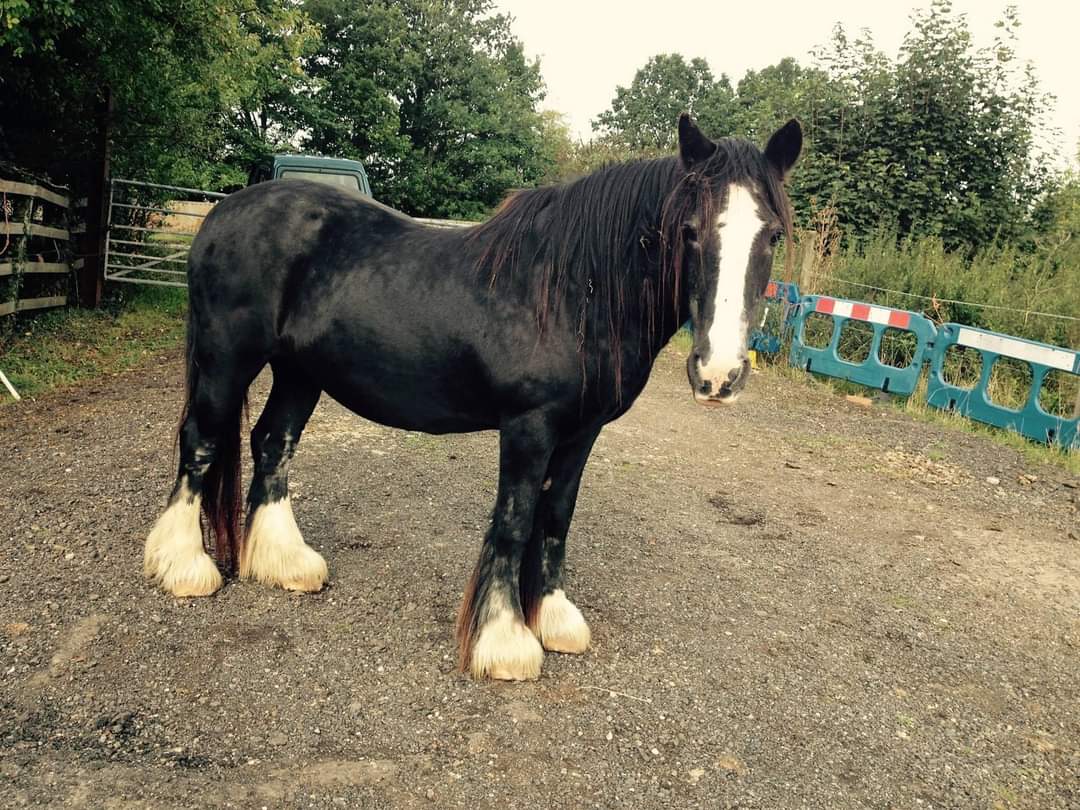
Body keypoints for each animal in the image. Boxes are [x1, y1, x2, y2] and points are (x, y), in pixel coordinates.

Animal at [142, 114, 802, 680]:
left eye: (772, 235)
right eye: (689, 232)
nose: (718, 374)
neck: (572, 289)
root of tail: (223, 212)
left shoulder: (583, 430)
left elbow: (556, 516)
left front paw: (553, 618)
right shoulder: (529, 425)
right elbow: (514, 520)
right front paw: (506, 642)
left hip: (301, 373)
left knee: (272, 443)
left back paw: (285, 563)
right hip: (227, 360)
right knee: (202, 442)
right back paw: (184, 567)